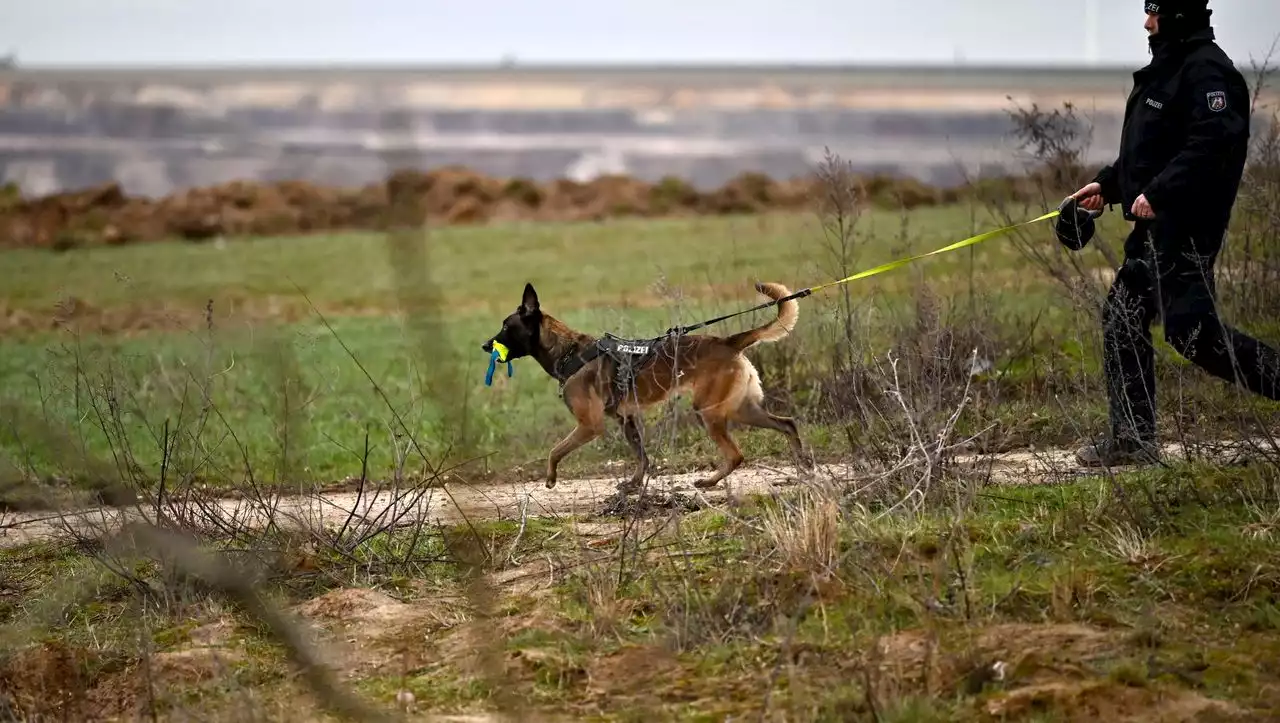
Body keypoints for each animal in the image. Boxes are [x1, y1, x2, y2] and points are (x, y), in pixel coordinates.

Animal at [481, 280, 808, 491]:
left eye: (507, 327)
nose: (485, 346)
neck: (569, 352)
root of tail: (728, 342)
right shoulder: (626, 419)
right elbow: (642, 457)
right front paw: (635, 484)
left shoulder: (589, 426)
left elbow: (555, 450)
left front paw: (550, 478)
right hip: (741, 409)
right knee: (787, 424)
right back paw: (804, 467)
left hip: (709, 411)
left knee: (736, 454)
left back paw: (711, 481)